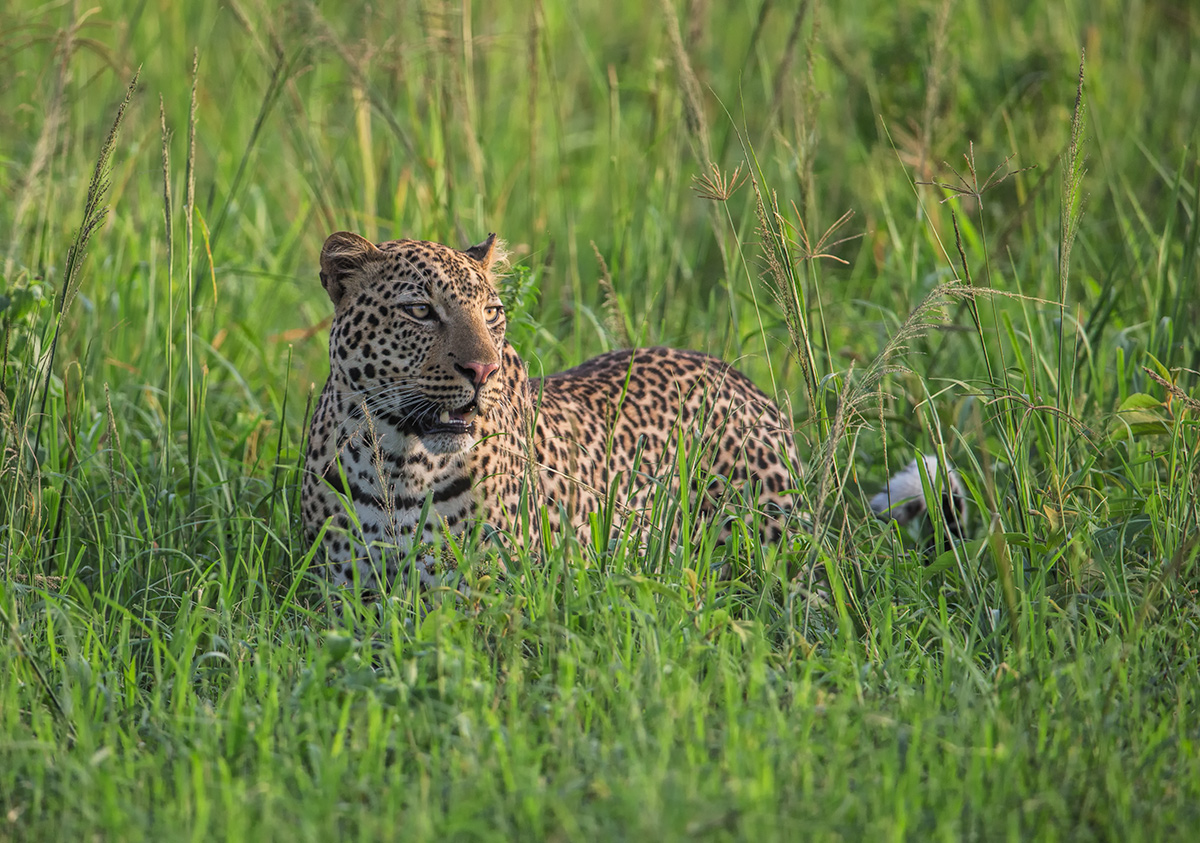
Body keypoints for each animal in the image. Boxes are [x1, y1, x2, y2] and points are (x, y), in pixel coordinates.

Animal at [301, 230, 963, 590]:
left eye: (491, 313)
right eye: (419, 311)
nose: (481, 371)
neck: (399, 462)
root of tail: (737, 376)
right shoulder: (341, 599)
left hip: (780, 546)